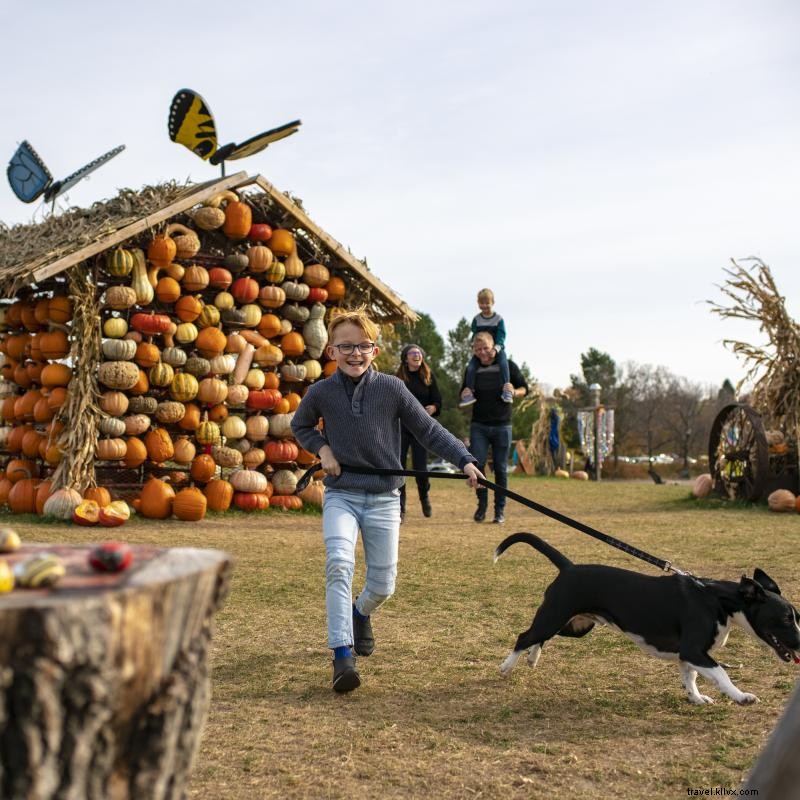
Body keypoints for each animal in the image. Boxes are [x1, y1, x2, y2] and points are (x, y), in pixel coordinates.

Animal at [494, 536, 800, 704]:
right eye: (786, 618)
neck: (716, 599)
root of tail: (569, 567)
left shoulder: (688, 654)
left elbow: (689, 678)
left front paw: (696, 699)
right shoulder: (694, 650)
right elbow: (721, 674)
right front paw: (742, 697)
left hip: (576, 624)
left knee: (540, 638)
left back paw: (533, 658)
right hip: (554, 615)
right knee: (524, 636)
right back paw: (507, 667)